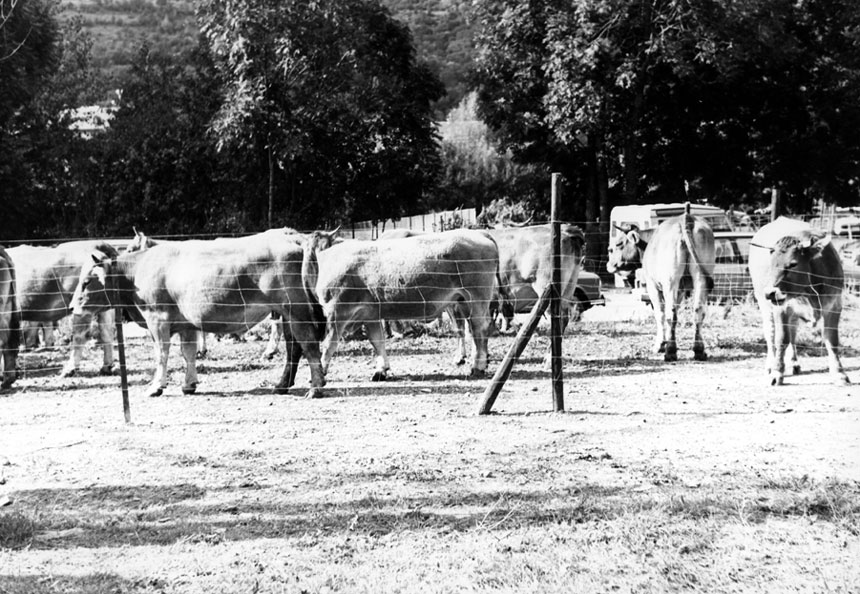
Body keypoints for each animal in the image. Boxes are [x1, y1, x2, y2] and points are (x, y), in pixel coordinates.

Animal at [8, 240, 120, 374]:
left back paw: (70, 368)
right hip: (104, 305)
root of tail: (100, 244)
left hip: (82, 306)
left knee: (80, 335)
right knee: (106, 332)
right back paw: (107, 366)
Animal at [69, 229, 326, 396]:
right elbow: (188, 353)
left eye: (87, 281)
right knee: (294, 347)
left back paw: (315, 387)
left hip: (297, 310)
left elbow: (161, 354)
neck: (136, 272)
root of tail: (292, 238)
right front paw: (189, 384)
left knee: (308, 344)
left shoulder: (157, 320)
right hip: (286, 313)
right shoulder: (187, 325)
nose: (71, 307)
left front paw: (156, 386)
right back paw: (283, 384)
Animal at [306, 227, 500, 380]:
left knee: (479, 328)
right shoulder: (370, 314)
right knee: (471, 329)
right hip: (464, 301)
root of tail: (478, 233)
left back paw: (477, 366)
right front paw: (381, 370)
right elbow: (377, 341)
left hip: (476, 297)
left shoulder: (337, 312)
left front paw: (319, 372)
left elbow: (329, 343)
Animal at [604, 210, 720, 364]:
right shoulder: (681, 289)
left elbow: (660, 313)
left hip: (670, 281)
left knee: (671, 314)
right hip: (701, 278)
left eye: (618, 244)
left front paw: (660, 344)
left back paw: (670, 351)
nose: (609, 265)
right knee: (698, 311)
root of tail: (686, 217)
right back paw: (699, 350)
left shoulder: (652, 286)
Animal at [748, 216, 848, 384]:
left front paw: (839, 373)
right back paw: (770, 364)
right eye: (771, 263)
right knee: (770, 333)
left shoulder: (834, 306)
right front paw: (777, 372)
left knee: (793, 333)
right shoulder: (781, 307)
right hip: (764, 303)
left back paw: (794, 362)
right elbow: (781, 339)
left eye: (793, 264)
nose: (770, 293)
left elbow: (832, 340)